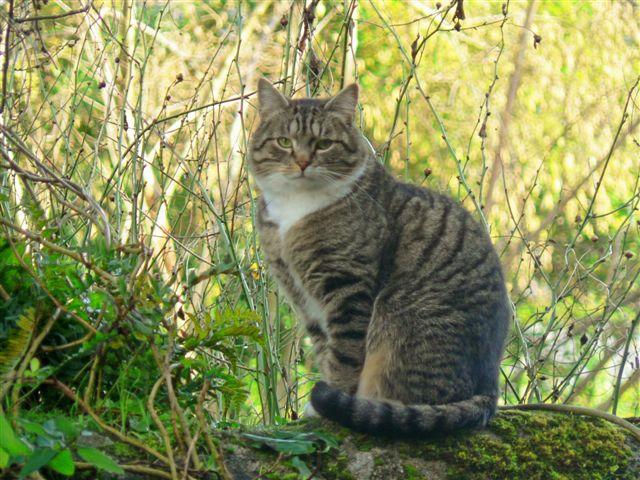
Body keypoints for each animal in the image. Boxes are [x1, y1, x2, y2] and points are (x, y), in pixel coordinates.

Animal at [246, 79, 510, 436]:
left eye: (324, 144)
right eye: (284, 142)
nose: (301, 162)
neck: (296, 208)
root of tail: (490, 387)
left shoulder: (348, 286)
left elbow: (345, 354)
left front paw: (328, 403)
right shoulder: (304, 300)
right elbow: (325, 349)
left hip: (402, 322)